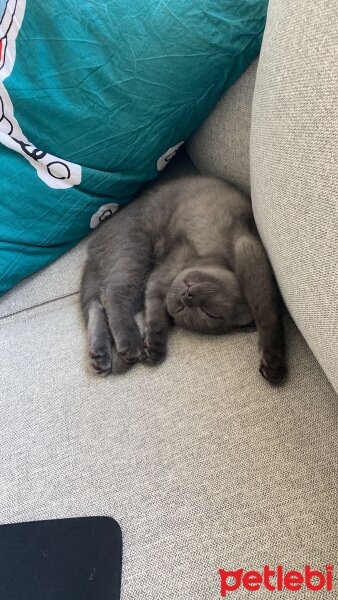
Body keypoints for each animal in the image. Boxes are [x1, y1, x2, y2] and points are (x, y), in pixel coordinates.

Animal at [80, 176, 286, 384]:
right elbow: (266, 310)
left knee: (96, 303)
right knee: (112, 293)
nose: (188, 296)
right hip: (135, 249)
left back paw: (100, 355)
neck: (213, 257)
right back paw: (130, 343)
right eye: (183, 307)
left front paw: (153, 347)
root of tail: (92, 248)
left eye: (208, 312)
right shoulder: (244, 249)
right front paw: (274, 361)